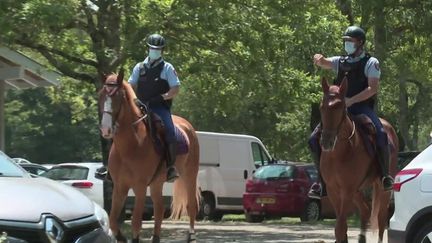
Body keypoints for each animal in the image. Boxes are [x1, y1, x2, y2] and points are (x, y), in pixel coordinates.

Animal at [98, 70, 200, 243]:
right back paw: (156, 238)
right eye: (101, 95)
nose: (105, 129)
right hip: (156, 183)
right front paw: (121, 238)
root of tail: (188, 126)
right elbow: (112, 220)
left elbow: (136, 221)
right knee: (159, 208)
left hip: (189, 175)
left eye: (117, 97)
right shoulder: (120, 186)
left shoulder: (139, 187)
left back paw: (191, 236)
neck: (130, 146)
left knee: (191, 205)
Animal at [318, 78, 396, 243]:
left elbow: (340, 227)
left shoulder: (347, 190)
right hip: (357, 191)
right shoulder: (334, 190)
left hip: (381, 189)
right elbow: (341, 228)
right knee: (365, 210)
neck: (338, 154)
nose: (326, 141)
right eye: (322, 107)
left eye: (340, 106)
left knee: (381, 218)